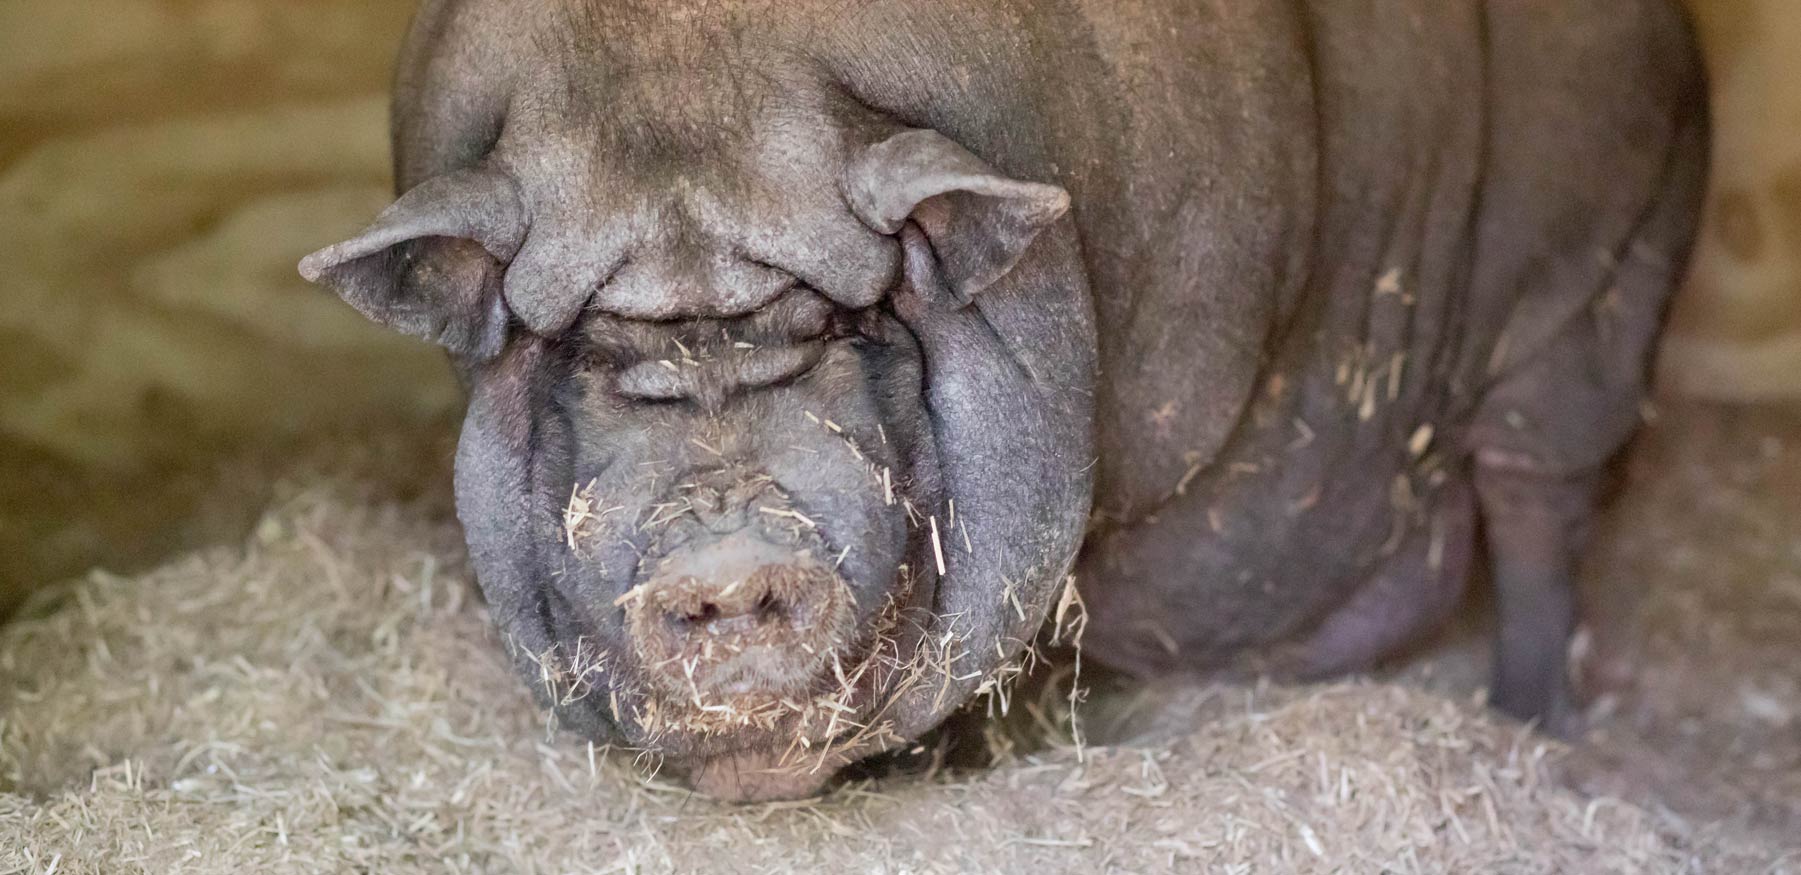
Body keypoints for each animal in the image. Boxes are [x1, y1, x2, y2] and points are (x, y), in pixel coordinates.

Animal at [295, 0, 1700, 799]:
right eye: (594, 356)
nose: (725, 553)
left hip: (1601, 277)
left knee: (1540, 505)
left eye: (836, 328)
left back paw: (1537, 728)